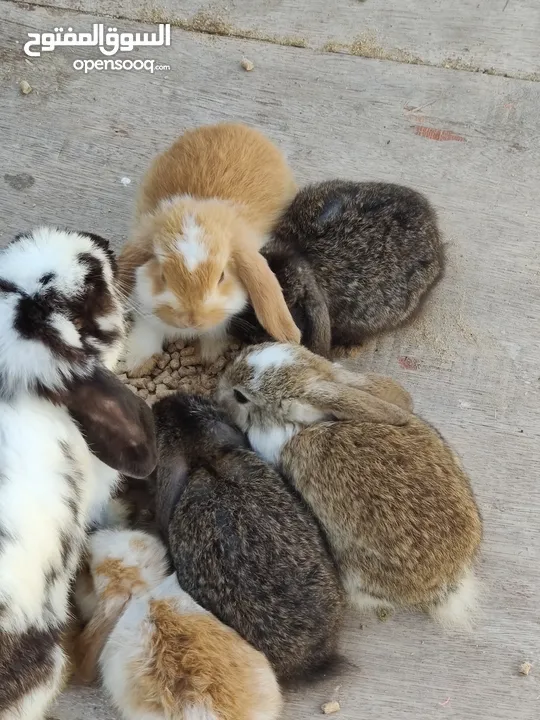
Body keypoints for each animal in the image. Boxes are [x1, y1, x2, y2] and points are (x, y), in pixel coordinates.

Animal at [118, 122, 302, 372]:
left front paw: (210, 355)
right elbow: (148, 331)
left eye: (221, 276)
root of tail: (236, 125)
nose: (191, 320)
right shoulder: (147, 310)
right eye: (163, 276)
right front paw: (136, 360)